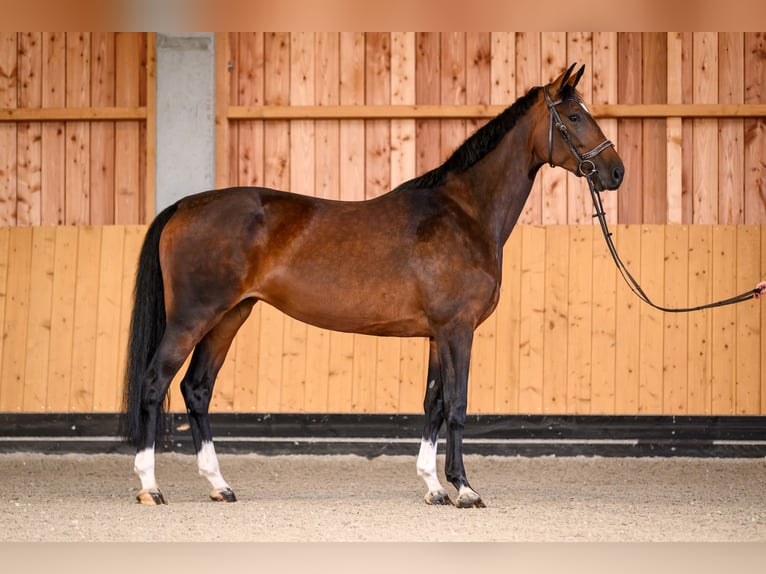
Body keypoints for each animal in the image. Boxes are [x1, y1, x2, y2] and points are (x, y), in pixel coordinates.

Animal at [121, 64, 624, 508]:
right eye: (574, 117)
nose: (615, 172)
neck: (464, 214)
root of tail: (184, 205)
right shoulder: (457, 329)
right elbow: (457, 405)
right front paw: (464, 489)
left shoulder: (437, 334)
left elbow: (433, 404)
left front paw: (434, 488)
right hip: (192, 318)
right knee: (154, 382)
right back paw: (150, 487)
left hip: (229, 316)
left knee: (197, 389)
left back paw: (219, 486)